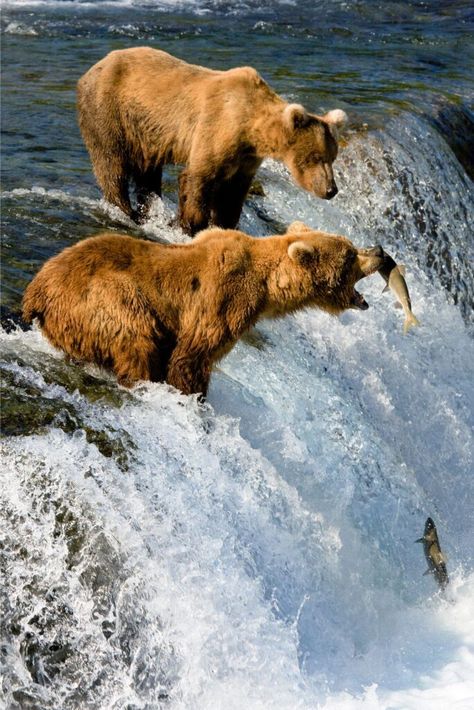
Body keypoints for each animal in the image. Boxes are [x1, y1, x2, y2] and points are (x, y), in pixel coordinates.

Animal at [23, 225, 386, 398]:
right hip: (103, 298)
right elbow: (192, 357)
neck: (267, 285)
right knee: (137, 339)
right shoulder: (223, 300)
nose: (379, 250)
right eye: (350, 254)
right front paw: (192, 393)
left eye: (351, 245)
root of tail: (35, 291)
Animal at [78, 47, 348, 236]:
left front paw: (223, 224)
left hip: (146, 135)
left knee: (148, 173)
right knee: (112, 164)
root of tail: (93, 67)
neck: (249, 126)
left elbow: (232, 194)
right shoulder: (215, 127)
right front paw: (190, 225)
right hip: (109, 111)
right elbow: (198, 179)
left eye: (332, 157)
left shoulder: (246, 158)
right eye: (314, 157)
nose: (330, 190)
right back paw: (127, 211)